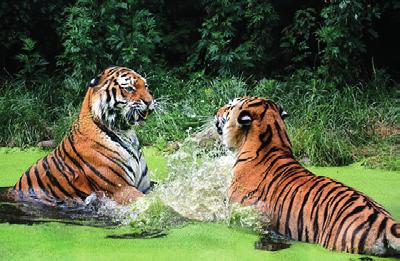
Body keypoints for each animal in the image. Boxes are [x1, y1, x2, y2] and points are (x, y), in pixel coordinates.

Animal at [7, 66, 156, 206]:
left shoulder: (145, 187)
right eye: (129, 88)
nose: (150, 101)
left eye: (146, 86)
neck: (126, 133)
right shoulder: (120, 189)